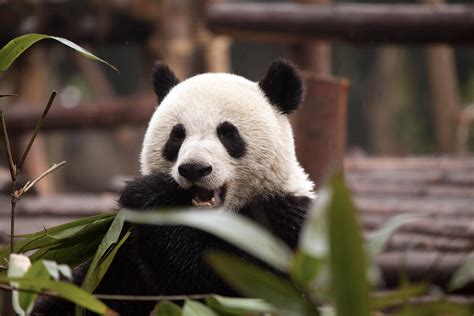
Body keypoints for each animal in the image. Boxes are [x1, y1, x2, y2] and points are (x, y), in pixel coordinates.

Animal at [33, 58, 314, 314]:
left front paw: (149, 195)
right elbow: (91, 294)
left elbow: (228, 285)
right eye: (177, 135)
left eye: (227, 133)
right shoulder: (126, 256)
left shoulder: (286, 228)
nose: (194, 168)